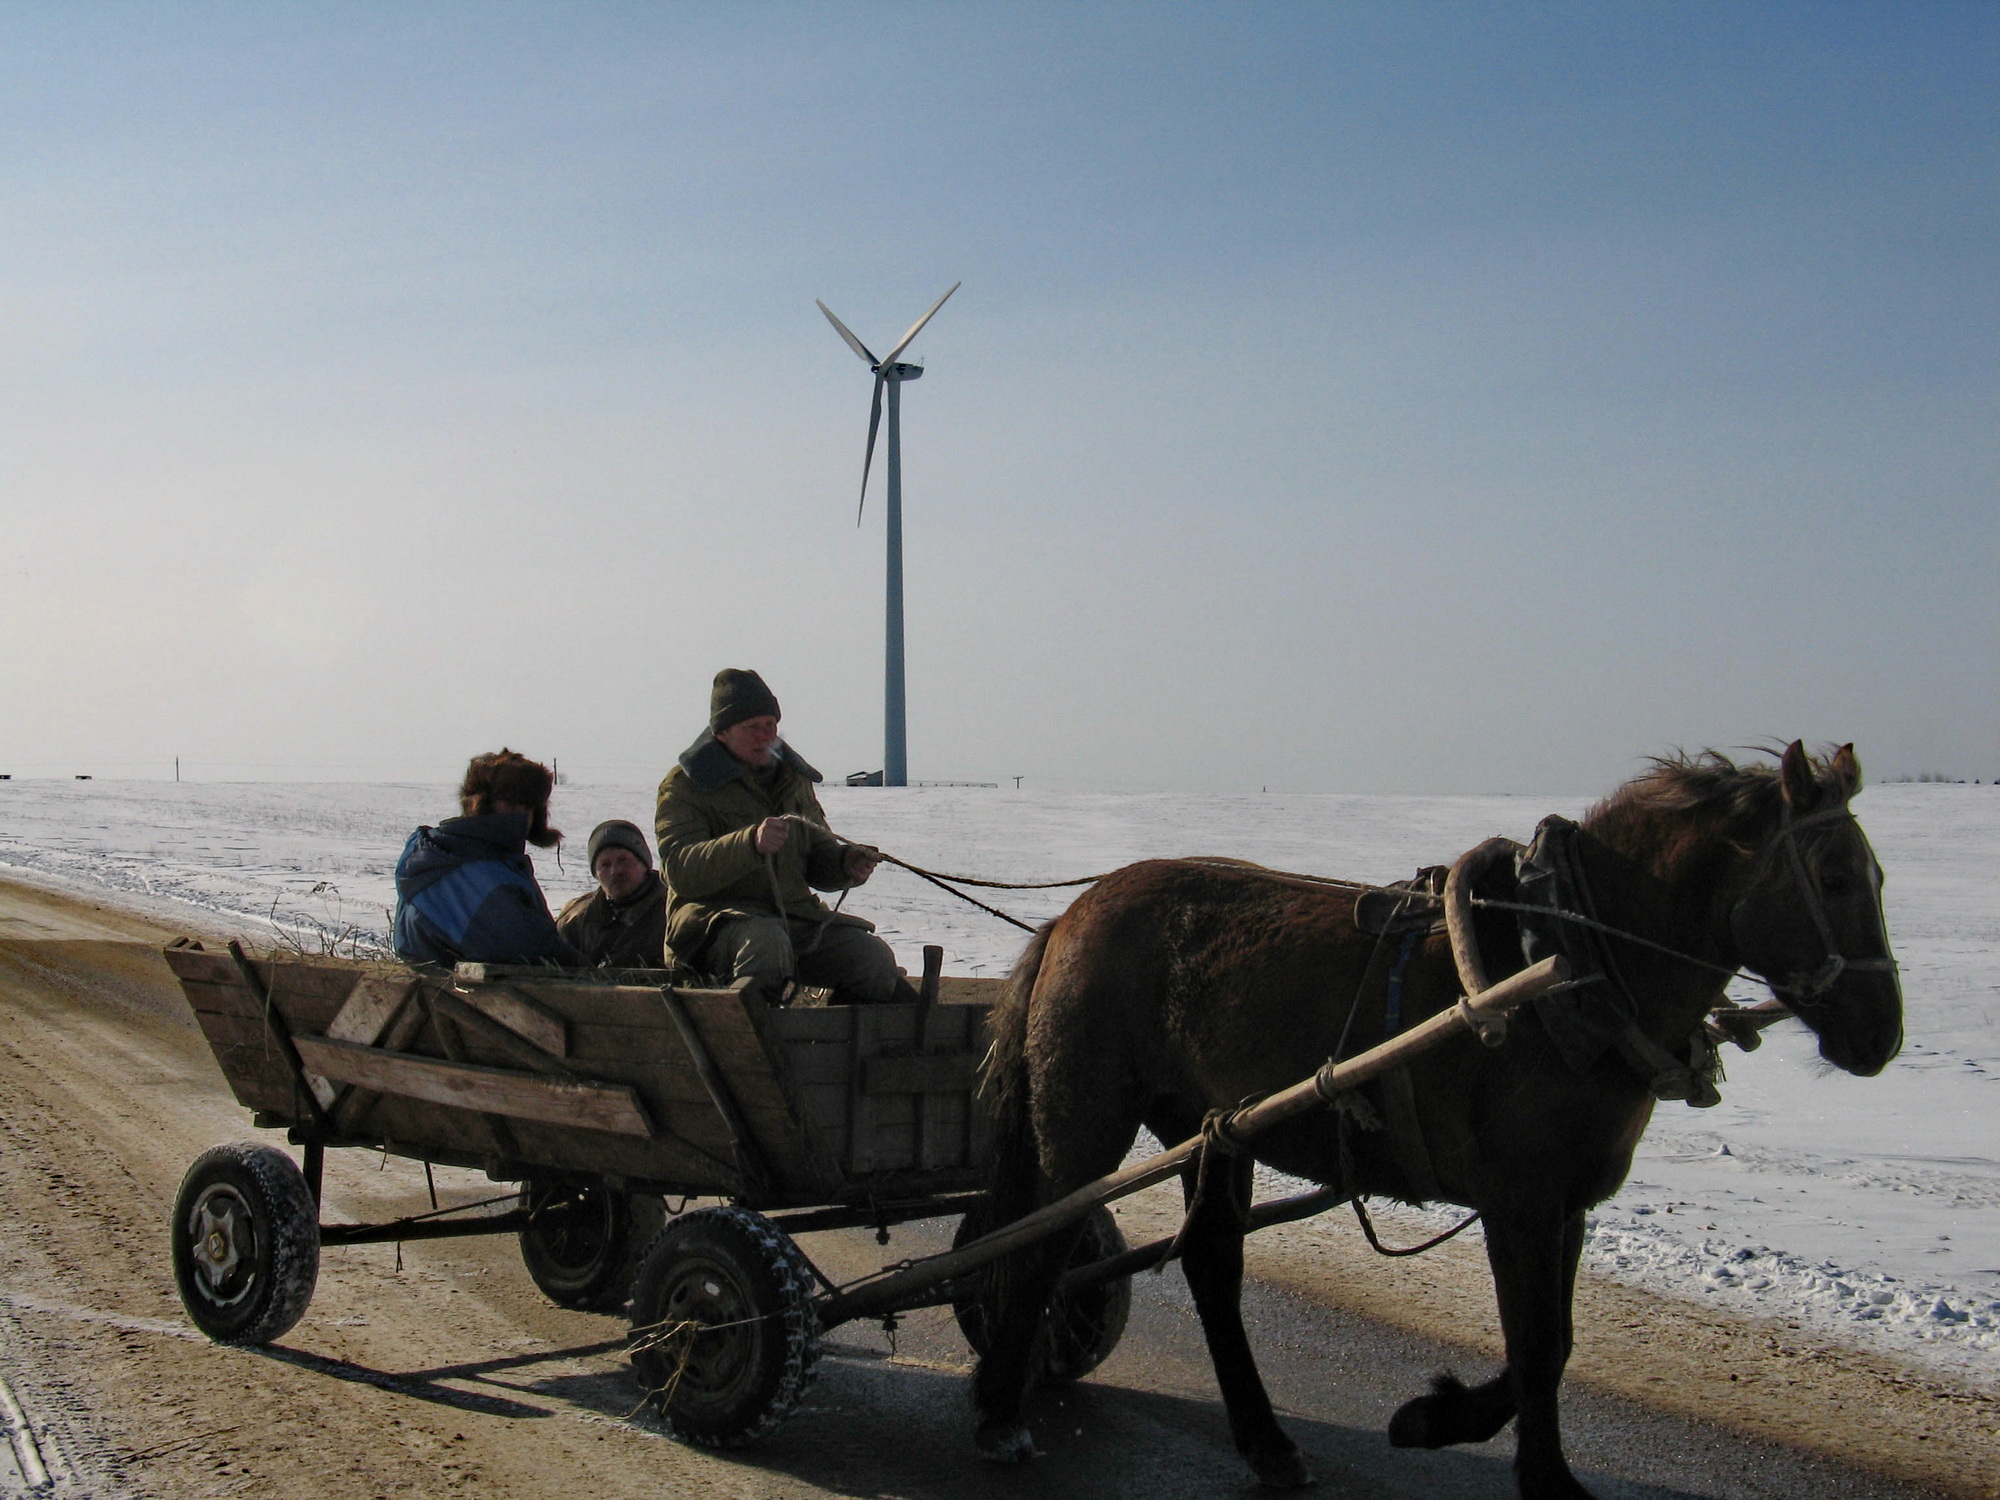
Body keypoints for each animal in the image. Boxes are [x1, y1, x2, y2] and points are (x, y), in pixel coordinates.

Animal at [968, 744, 1904, 1500]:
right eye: (1833, 878)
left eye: (1879, 878)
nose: (1882, 1036)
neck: (1565, 970)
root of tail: (1072, 915)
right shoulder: (1519, 1203)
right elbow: (1535, 1344)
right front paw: (1533, 1473)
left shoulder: (1567, 1204)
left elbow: (1555, 1343)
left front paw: (1443, 1421)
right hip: (1089, 1117)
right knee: (1040, 1244)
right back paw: (1002, 1413)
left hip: (1210, 1130)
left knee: (1209, 1263)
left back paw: (1266, 1443)